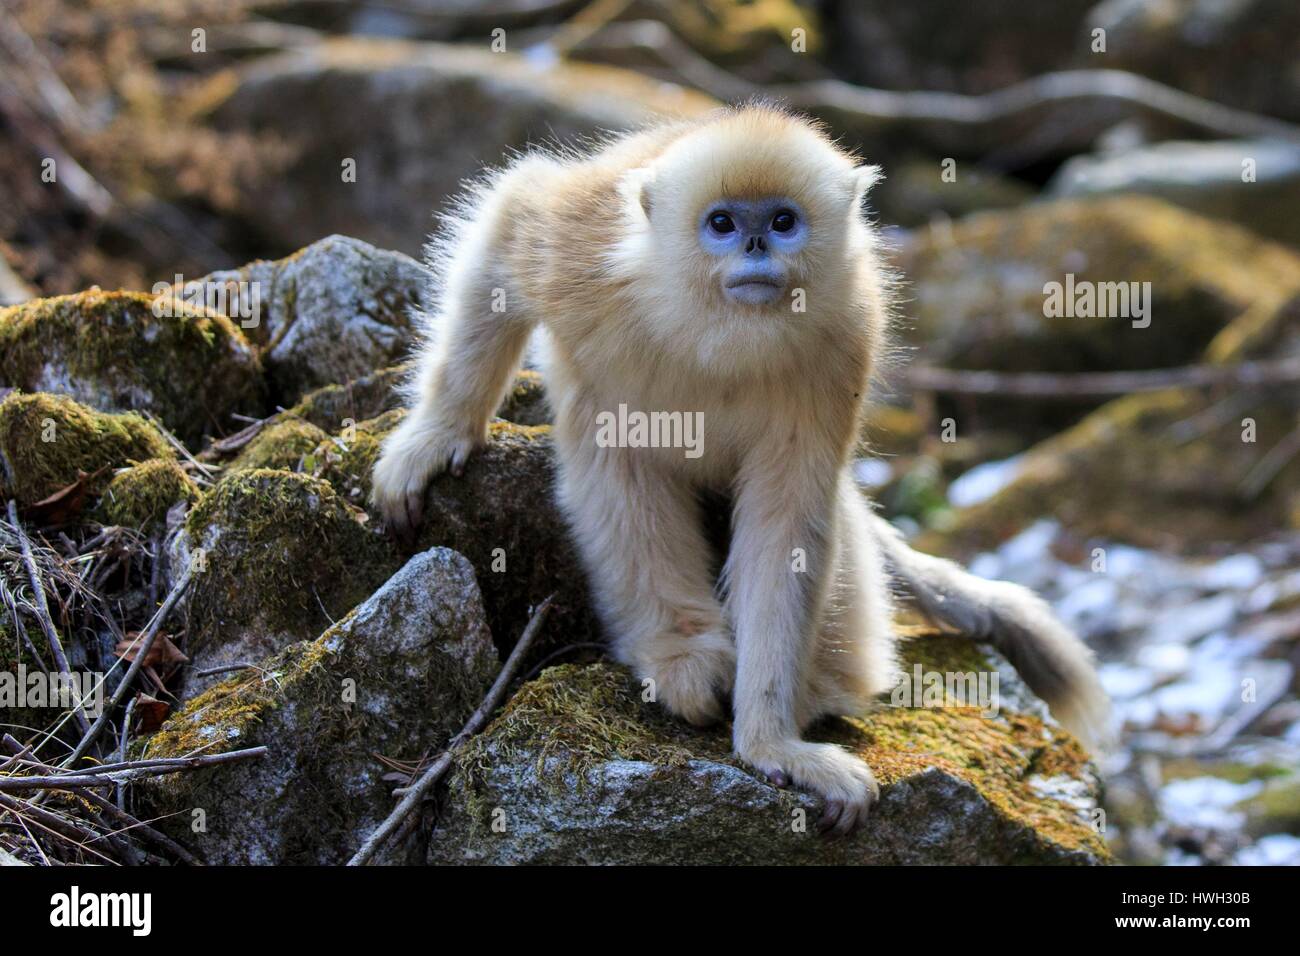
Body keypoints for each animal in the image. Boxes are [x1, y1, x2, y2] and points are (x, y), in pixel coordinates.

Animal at [372, 105, 1109, 834]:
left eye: (782, 222)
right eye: (723, 224)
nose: (756, 247)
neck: (721, 323)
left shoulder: (847, 334)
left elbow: (788, 525)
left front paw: (771, 742)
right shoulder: (580, 252)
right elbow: (513, 220)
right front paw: (438, 431)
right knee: (618, 456)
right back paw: (680, 652)